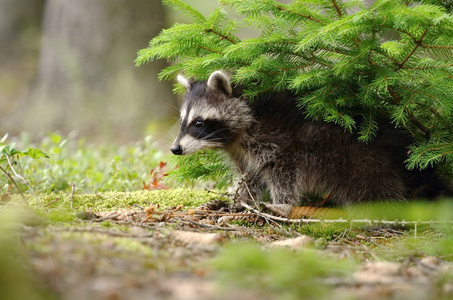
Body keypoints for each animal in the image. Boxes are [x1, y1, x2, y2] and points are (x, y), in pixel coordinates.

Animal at [171, 70, 446, 206]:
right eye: (182, 120)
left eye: (199, 122)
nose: (175, 149)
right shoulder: (243, 152)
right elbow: (251, 177)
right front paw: (240, 199)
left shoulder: (279, 141)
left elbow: (283, 175)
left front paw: (281, 204)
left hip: (366, 162)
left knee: (376, 188)